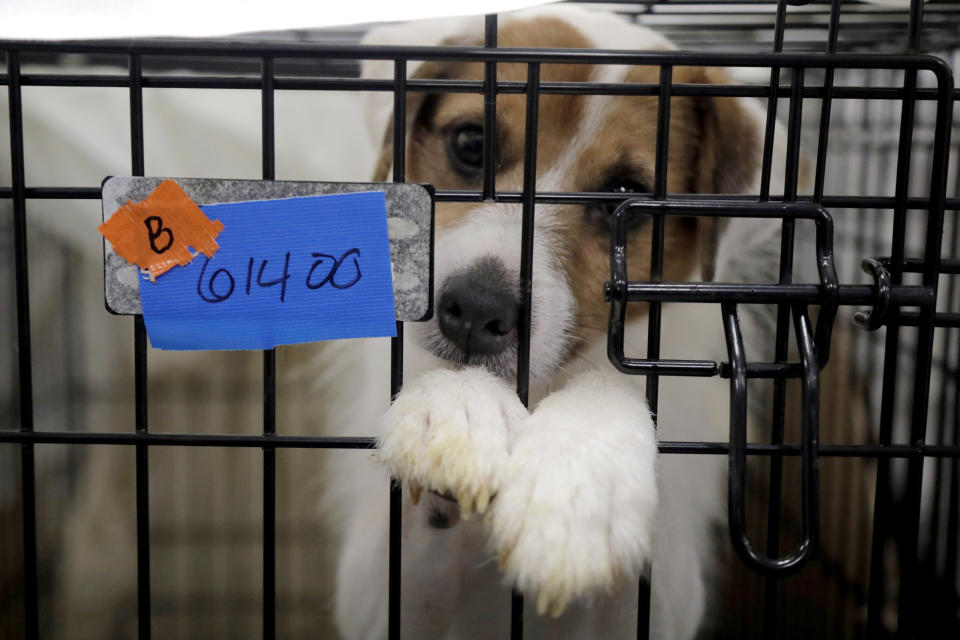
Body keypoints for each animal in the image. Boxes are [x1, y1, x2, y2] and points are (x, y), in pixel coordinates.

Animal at [318, 6, 792, 640]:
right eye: (471, 143)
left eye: (623, 195)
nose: (476, 308)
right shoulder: (378, 595)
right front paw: (457, 407)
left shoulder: (660, 601)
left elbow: (610, 380)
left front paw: (581, 473)